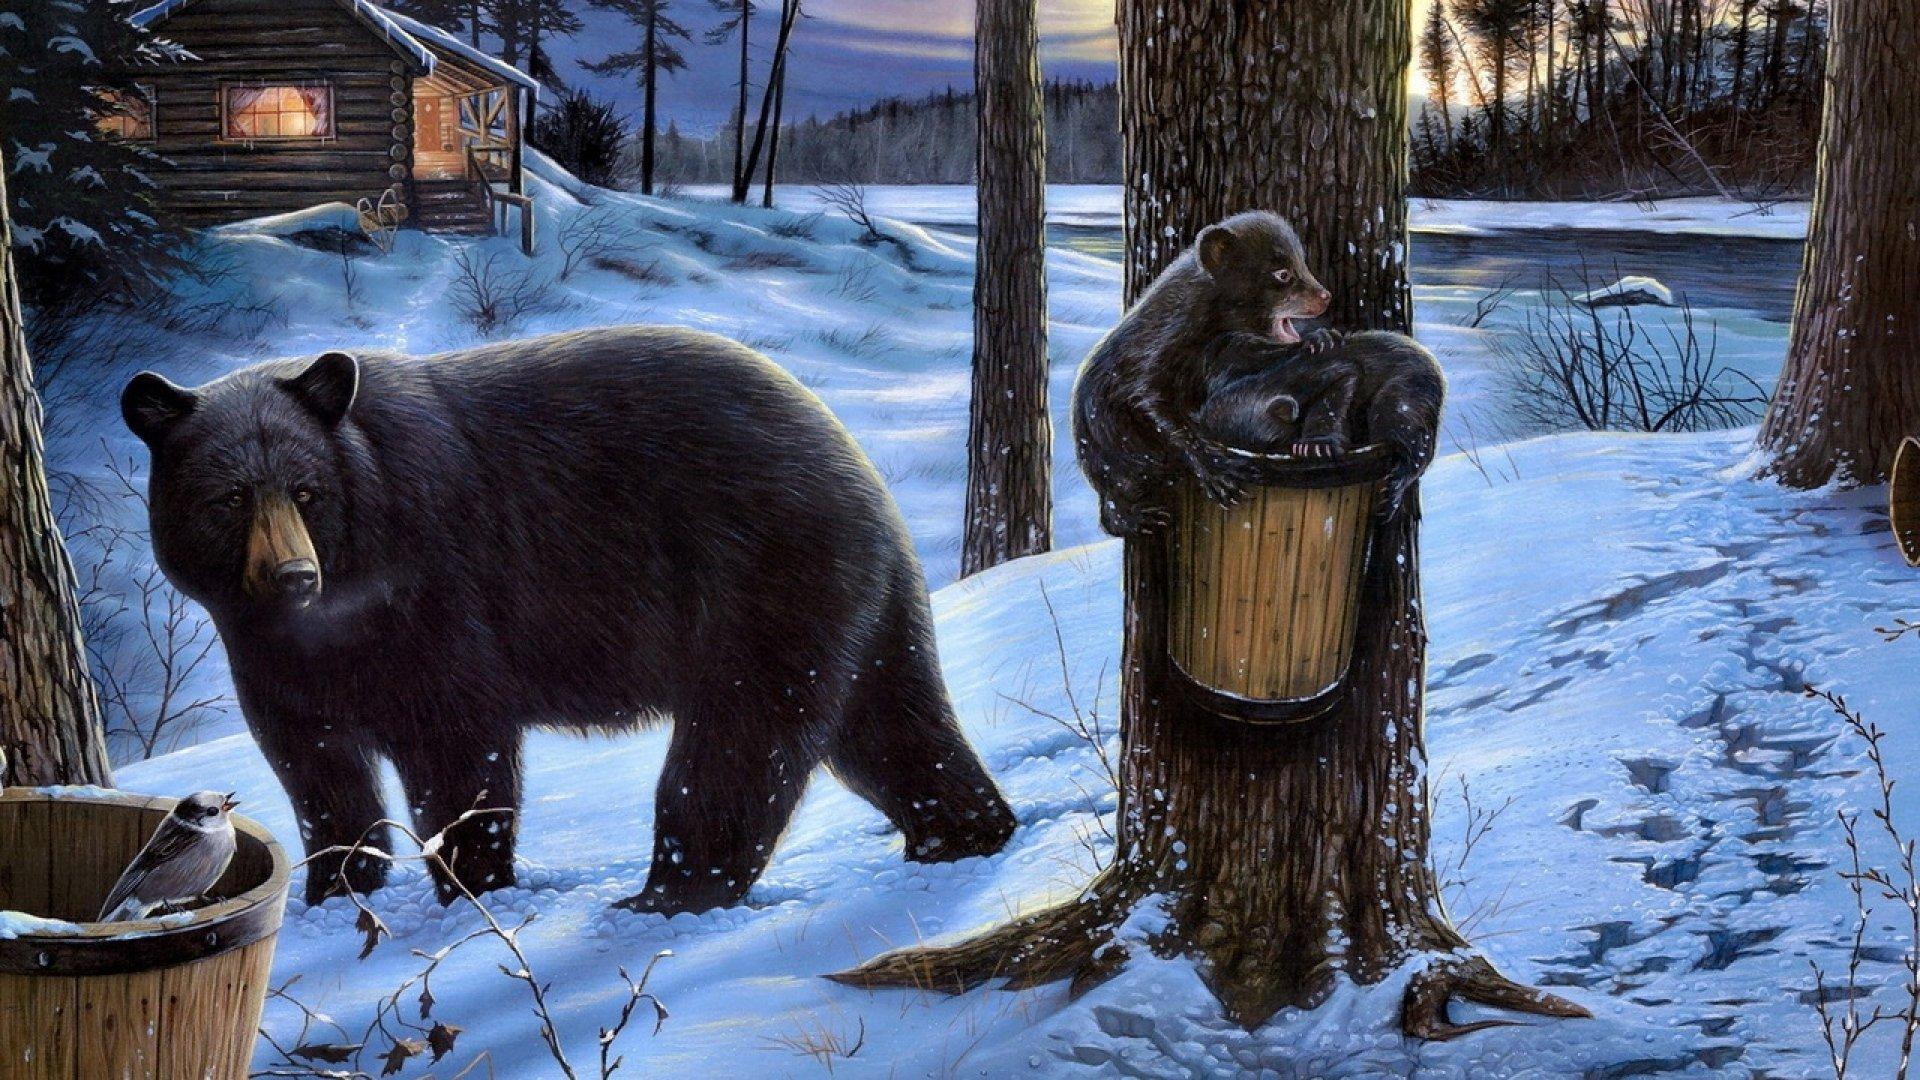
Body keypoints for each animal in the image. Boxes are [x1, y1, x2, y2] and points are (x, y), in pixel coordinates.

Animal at [121, 325, 1018, 913]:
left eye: (306, 490)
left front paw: (468, 888)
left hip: (762, 582)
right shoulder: (271, 659)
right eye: (229, 499)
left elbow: (459, 745)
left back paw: (667, 895)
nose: (293, 575)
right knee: (893, 723)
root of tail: (851, 452)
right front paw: (333, 887)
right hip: (858, 601)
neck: (336, 610)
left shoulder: (436, 590)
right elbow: (317, 773)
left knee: (735, 749)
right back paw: (965, 836)